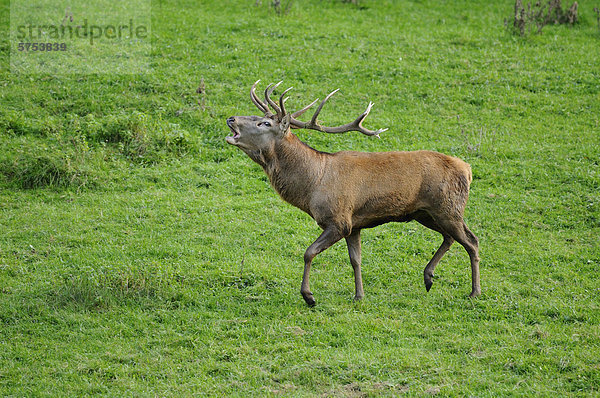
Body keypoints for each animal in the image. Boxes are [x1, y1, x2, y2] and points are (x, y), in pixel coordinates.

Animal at [226, 80, 482, 304]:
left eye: (264, 123)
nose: (231, 118)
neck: (312, 185)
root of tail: (468, 169)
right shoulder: (354, 224)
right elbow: (355, 260)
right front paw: (359, 295)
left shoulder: (339, 219)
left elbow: (309, 252)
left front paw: (308, 296)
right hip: (425, 213)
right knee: (450, 237)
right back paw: (428, 277)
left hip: (448, 208)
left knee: (472, 241)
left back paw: (474, 292)